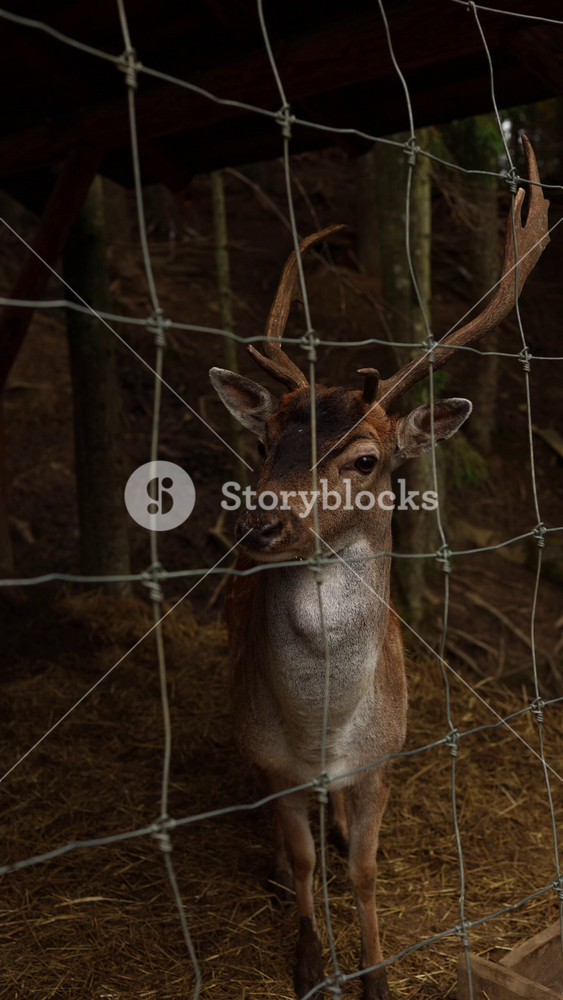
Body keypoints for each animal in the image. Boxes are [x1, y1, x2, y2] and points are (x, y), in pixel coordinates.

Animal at [209, 136, 549, 1000]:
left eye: (364, 458)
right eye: (263, 443)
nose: (255, 522)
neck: (324, 732)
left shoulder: (386, 756)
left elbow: (363, 870)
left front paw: (374, 976)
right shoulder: (269, 761)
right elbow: (300, 860)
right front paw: (307, 962)